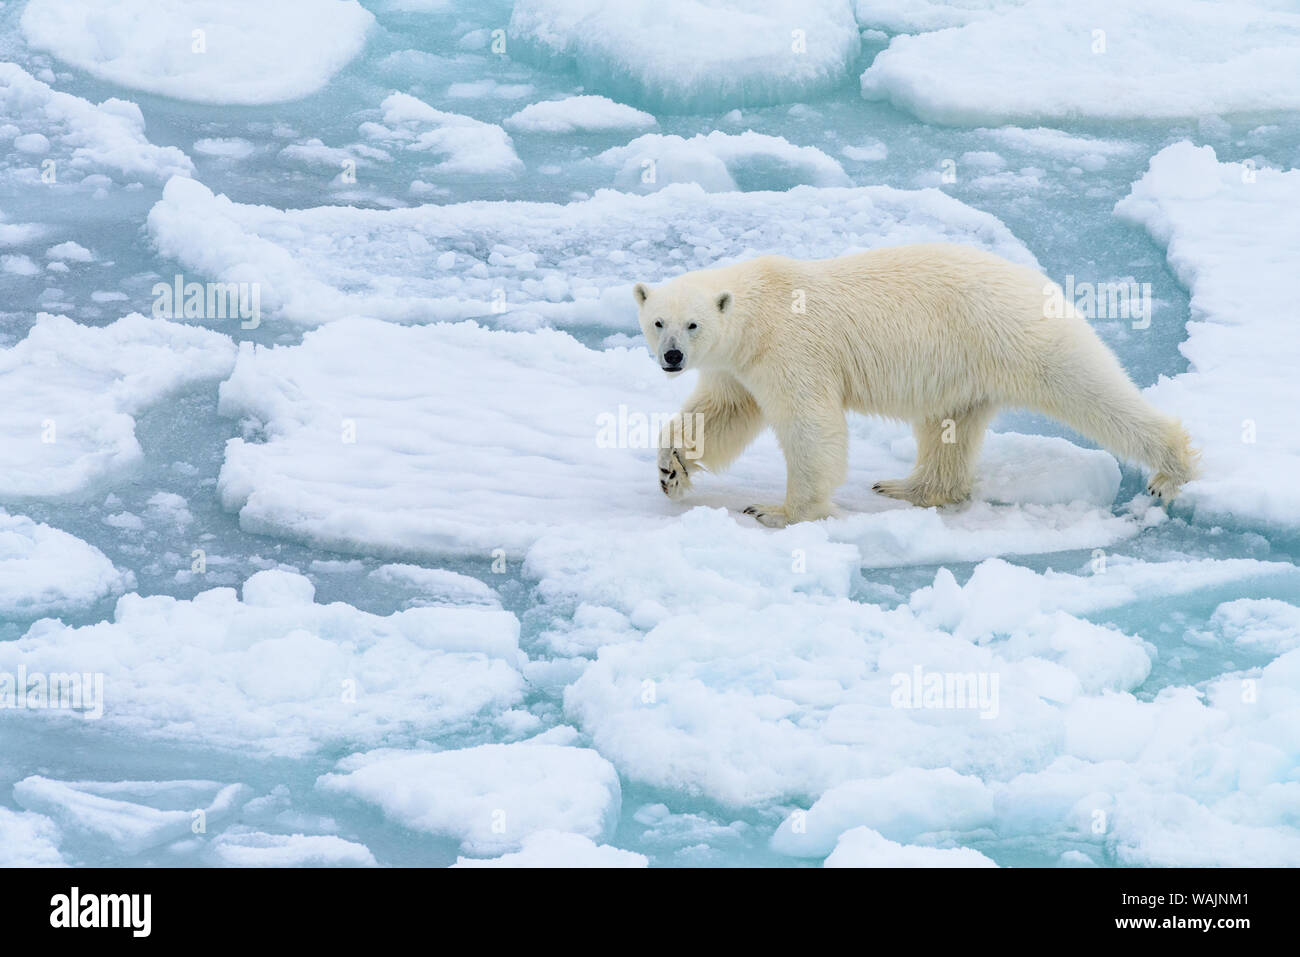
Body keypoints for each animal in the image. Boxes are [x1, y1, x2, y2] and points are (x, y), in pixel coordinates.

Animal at [629, 243, 1196, 527]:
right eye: (658, 322)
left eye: (693, 324)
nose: (673, 357)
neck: (758, 311)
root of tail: (1041, 281)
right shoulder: (740, 364)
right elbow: (721, 412)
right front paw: (670, 469)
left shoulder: (791, 348)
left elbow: (811, 426)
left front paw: (778, 511)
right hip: (963, 365)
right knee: (949, 426)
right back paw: (907, 486)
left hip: (1018, 337)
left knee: (1092, 391)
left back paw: (1170, 470)